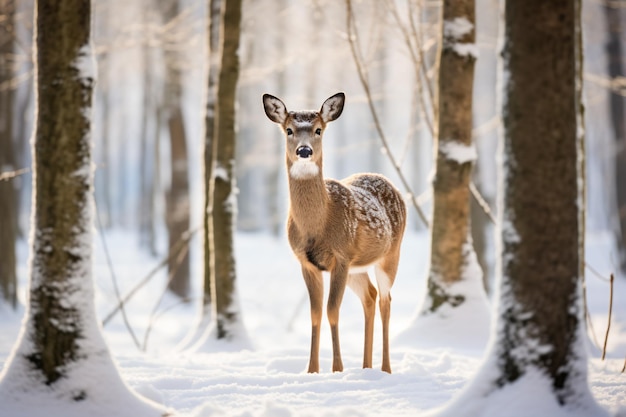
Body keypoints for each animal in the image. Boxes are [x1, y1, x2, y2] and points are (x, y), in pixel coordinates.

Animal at [262, 92, 404, 372]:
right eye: (289, 130)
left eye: (318, 129)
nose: (304, 150)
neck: (318, 225)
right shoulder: (306, 262)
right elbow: (315, 313)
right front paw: (312, 370)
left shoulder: (341, 256)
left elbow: (332, 310)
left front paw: (337, 368)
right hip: (357, 268)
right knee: (370, 297)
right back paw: (366, 367)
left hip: (390, 255)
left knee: (386, 301)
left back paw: (385, 369)